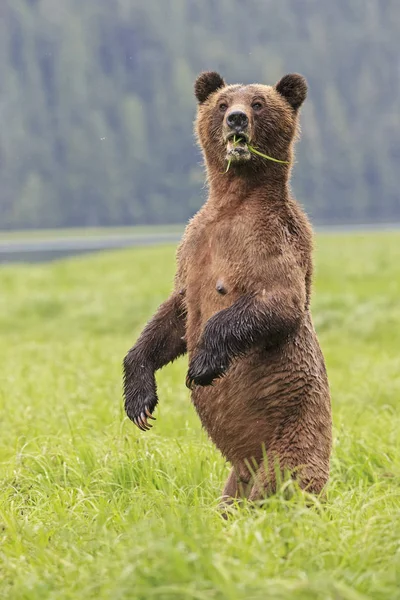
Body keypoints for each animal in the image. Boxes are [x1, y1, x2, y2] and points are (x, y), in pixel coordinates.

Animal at [123, 70, 332, 502]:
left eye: (258, 103)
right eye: (222, 103)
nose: (236, 118)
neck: (234, 203)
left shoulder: (270, 243)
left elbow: (279, 303)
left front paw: (202, 364)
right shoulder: (193, 247)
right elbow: (173, 317)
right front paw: (139, 400)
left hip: (292, 441)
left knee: (286, 486)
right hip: (236, 480)